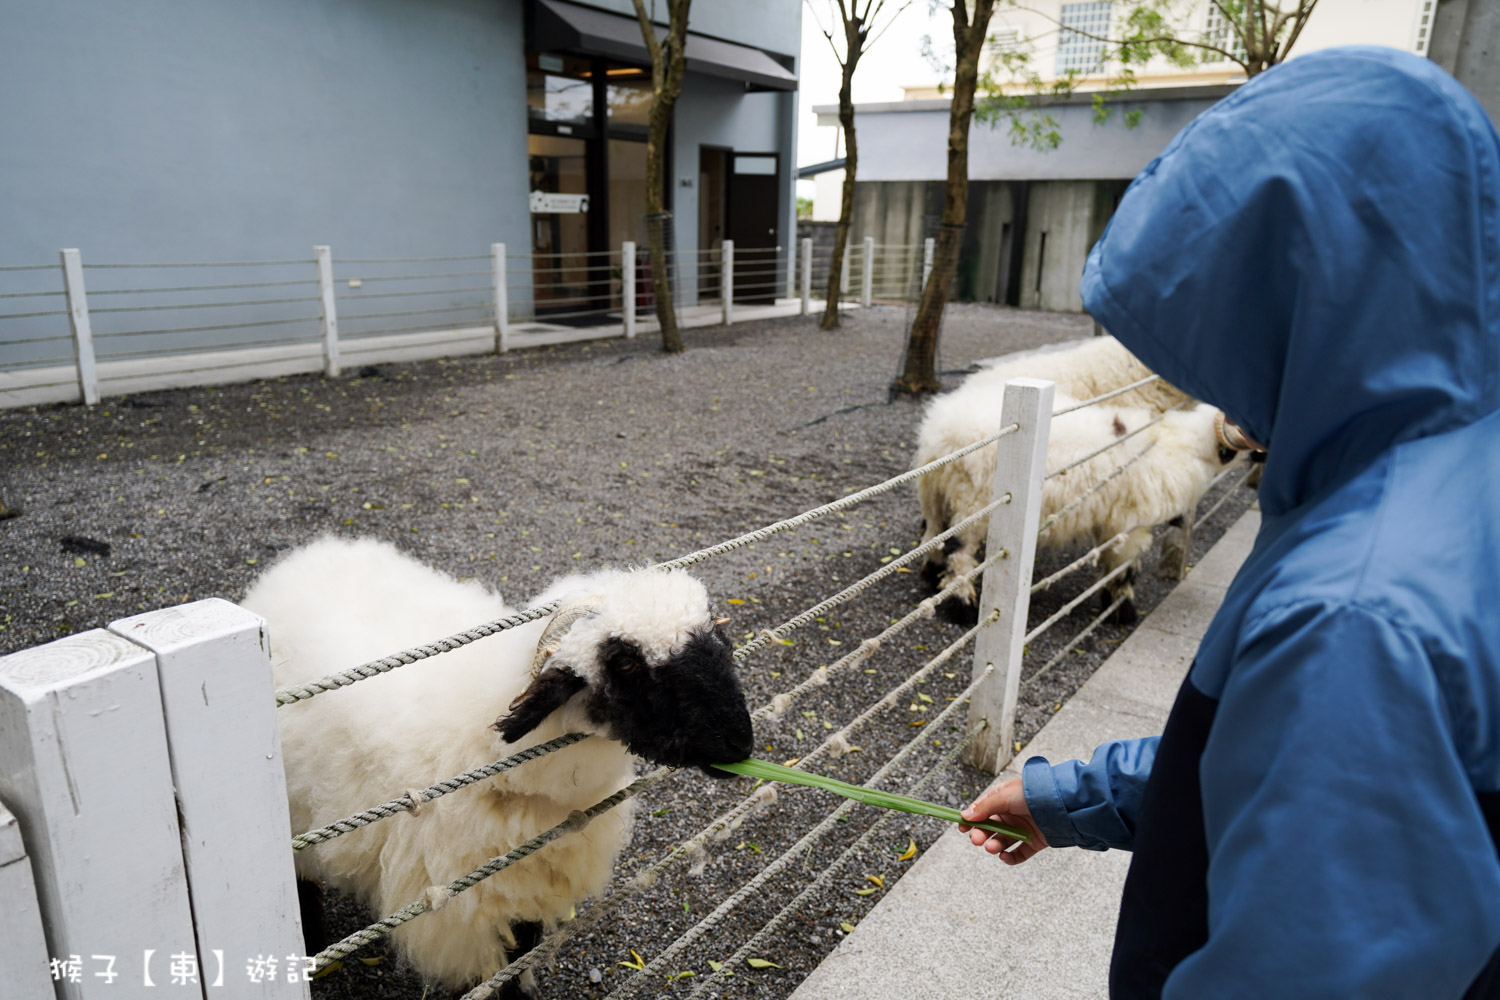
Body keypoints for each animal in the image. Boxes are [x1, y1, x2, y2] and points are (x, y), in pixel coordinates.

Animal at [249, 542, 762, 995]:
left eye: (715, 639)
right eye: (624, 661)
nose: (740, 742)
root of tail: (305, 556)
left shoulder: (528, 876)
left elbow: (520, 954)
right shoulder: (461, 910)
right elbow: (490, 979)